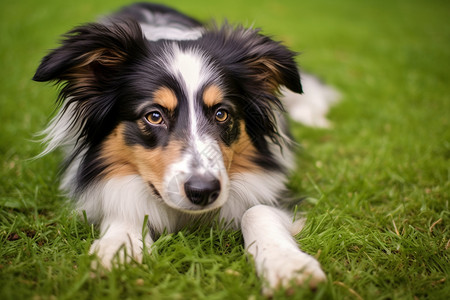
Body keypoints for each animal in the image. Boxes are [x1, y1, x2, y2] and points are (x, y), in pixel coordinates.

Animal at [33, 2, 334, 292]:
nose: (204, 192)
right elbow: (124, 206)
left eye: (221, 114)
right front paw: (118, 249)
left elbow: (257, 210)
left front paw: (289, 266)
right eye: (154, 116)